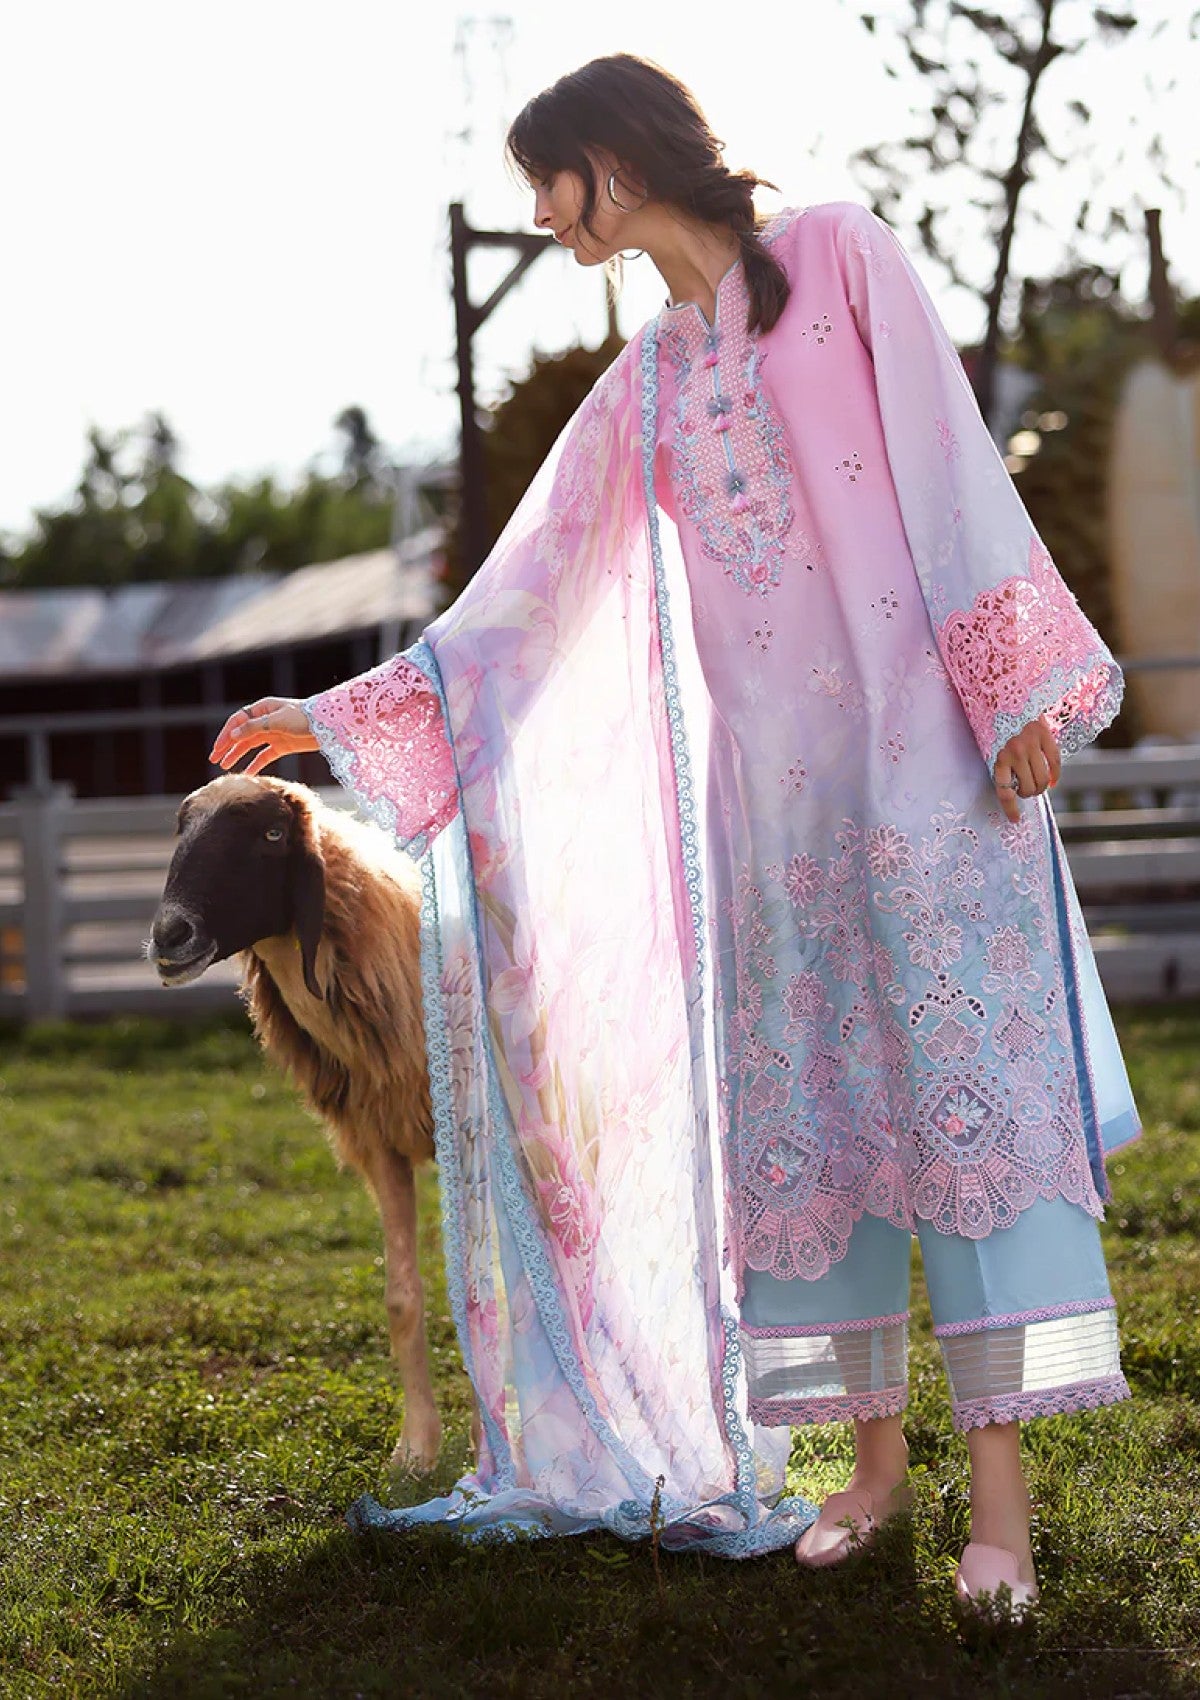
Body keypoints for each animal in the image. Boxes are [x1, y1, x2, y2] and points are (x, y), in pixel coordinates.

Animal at [147, 771, 444, 1472]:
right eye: (180, 827)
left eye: (273, 834)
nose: (170, 937)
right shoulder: (378, 1140)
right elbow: (402, 1299)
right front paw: (417, 1449)